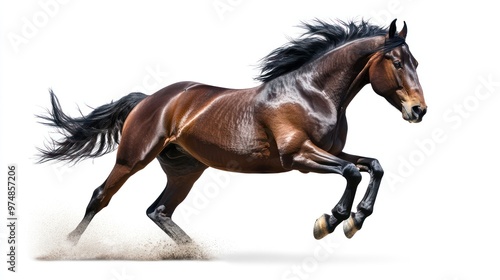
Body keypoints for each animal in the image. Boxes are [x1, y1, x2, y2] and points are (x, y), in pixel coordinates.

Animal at [38, 19, 426, 245]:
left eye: (416, 62)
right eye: (396, 62)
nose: (418, 110)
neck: (312, 93)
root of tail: (149, 99)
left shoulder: (329, 151)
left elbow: (373, 166)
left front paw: (354, 220)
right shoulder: (299, 156)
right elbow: (350, 172)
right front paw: (330, 221)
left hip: (185, 169)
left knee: (159, 210)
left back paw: (194, 253)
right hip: (133, 158)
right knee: (100, 196)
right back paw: (68, 247)